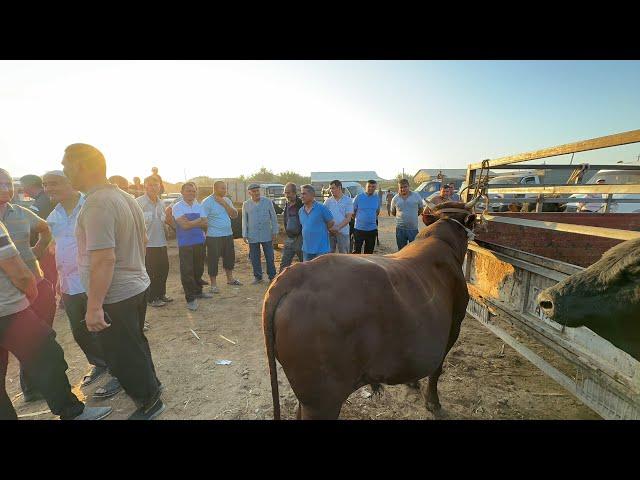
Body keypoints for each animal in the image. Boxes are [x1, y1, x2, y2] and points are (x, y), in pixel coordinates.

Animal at [262, 201, 480, 418]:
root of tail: (298, 272)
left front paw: (413, 382)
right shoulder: (454, 325)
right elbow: (437, 369)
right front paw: (433, 402)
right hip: (322, 400)